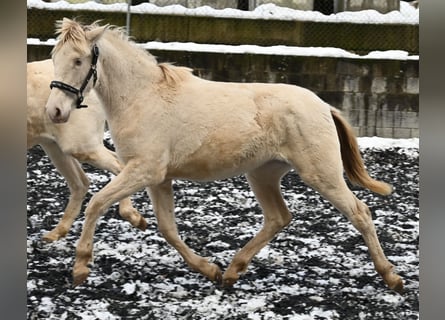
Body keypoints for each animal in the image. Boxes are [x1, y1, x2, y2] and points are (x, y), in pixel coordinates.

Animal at [26, 58, 147, 242]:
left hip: (79, 145)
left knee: (117, 167)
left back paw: (134, 217)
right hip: (55, 146)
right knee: (81, 183)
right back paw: (56, 232)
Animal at [44, 18, 402, 292]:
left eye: (79, 60)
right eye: (55, 57)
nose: (55, 112)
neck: (143, 98)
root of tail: (324, 105)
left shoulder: (144, 170)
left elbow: (97, 203)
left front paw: (80, 268)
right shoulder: (158, 178)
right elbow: (167, 228)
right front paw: (209, 269)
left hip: (321, 174)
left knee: (360, 212)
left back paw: (392, 277)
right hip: (263, 173)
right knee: (278, 217)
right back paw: (231, 271)